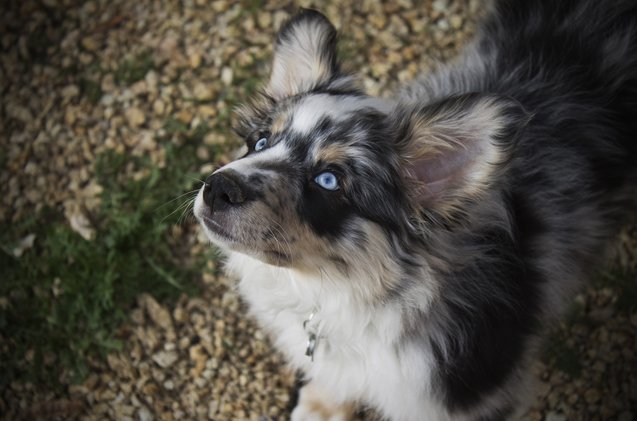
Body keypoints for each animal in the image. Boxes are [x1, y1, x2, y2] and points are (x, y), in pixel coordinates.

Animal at [194, 1, 636, 418]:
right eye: (260, 142)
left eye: (329, 180)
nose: (218, 188)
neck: (341, 290)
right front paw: (321, 406)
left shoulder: (477, 393)